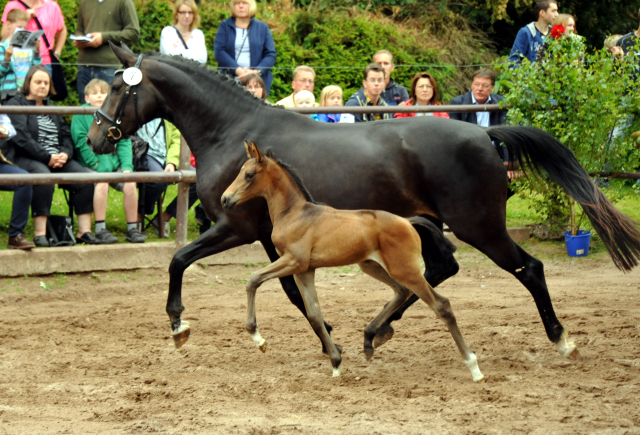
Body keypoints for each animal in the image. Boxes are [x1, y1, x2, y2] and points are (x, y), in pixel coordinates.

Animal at [222, 142, 482, 382]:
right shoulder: (305, 270)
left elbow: (253, 280)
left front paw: (258, 339)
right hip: (371, 265)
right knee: (401, 291)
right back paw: (368, 340)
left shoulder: (293, 261)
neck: (295, 214)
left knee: (441, 305)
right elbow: (314, 314)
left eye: (249, 174)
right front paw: (336, 363)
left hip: (404, 269)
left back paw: (474, 367)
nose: (225, 199)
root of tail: (408, 221)